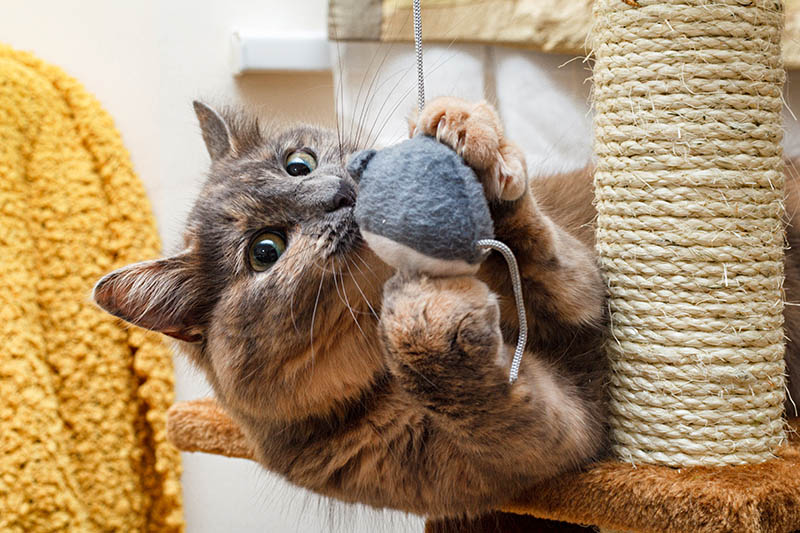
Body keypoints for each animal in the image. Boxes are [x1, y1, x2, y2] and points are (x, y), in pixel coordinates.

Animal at [90, 97, 796, 516]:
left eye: (297, 164)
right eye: (264, 251)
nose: (339, 195)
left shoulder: (586, 290)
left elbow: (555, 262)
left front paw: (465, 136)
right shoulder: (542, 441)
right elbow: (474, 383)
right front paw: (423, 316)